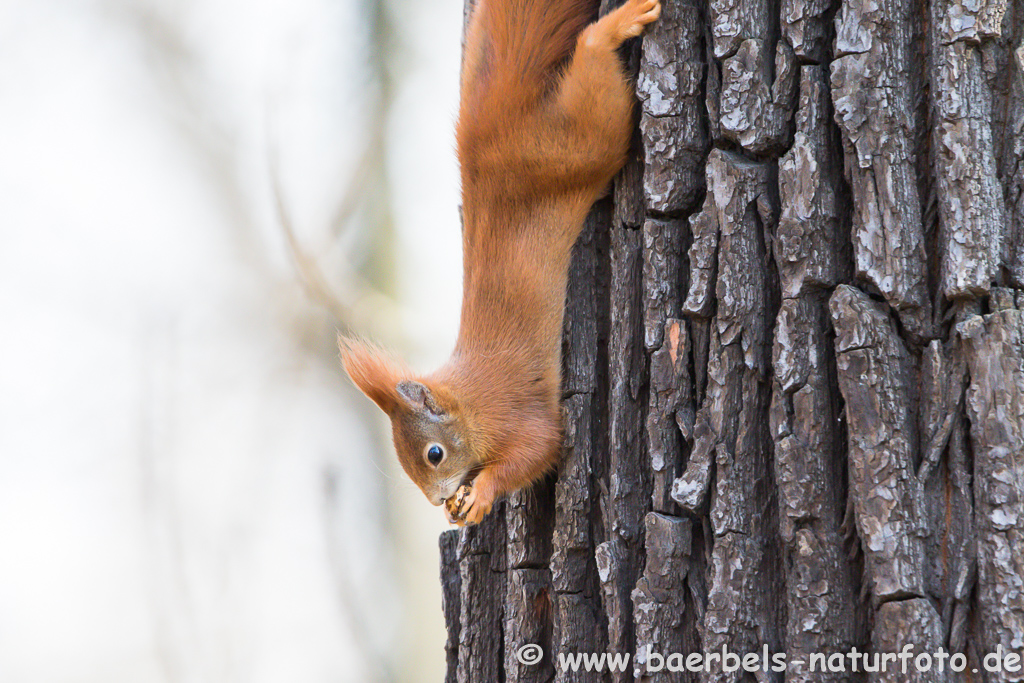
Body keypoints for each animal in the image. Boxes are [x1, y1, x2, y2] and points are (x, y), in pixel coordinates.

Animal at [339, 0, 659, 528]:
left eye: (433, 454)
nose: (438, 503)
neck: (468, 403)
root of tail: (484, 135)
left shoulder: (513, 413)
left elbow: (539, 448)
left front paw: (482, 492)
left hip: (578, 145)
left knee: (594, 79)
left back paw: (613, 27)